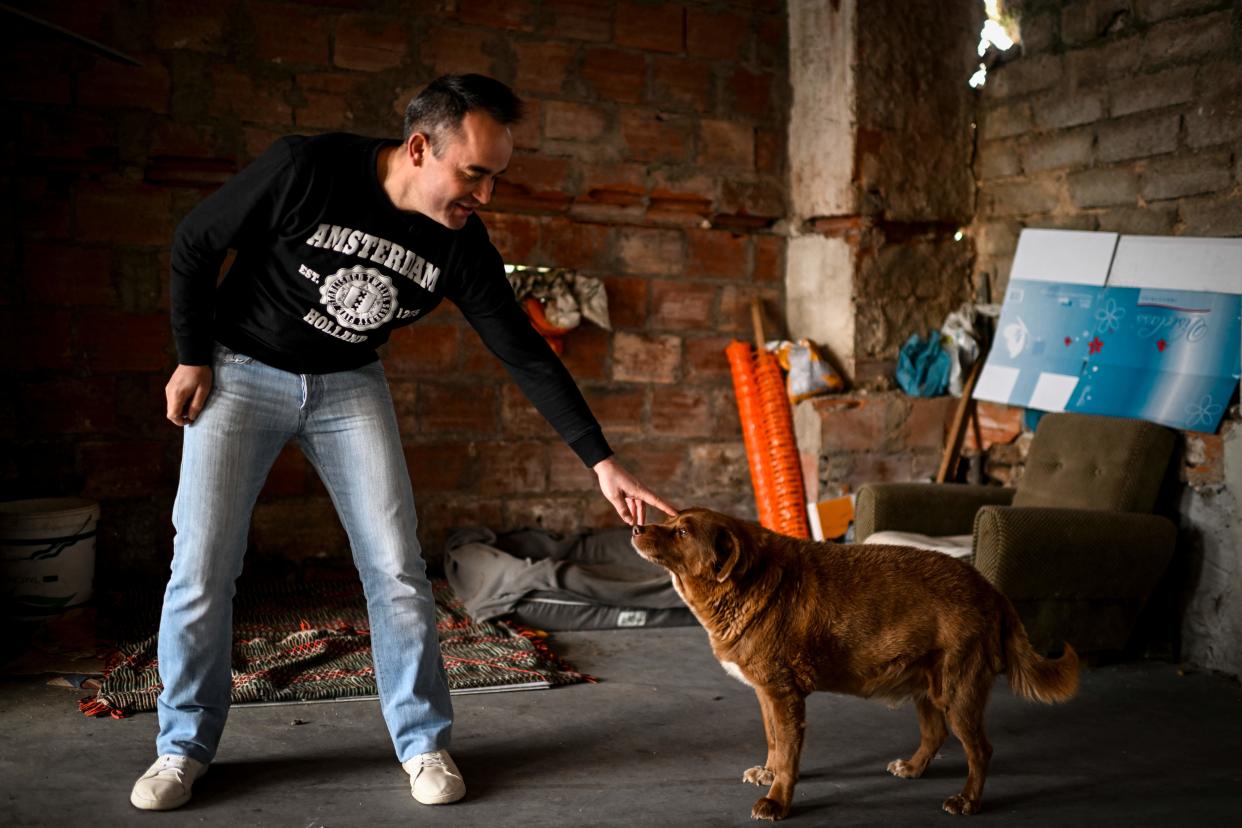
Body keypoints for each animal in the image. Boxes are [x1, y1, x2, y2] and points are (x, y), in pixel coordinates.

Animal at [630, 508, 1078, 819]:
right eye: (670, 519)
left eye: (682, 531)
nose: (635, 527)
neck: (745, 583)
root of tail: (992, 590)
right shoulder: (767, 694)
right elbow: (774, 741)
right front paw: (769, 773)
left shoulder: (784, 694)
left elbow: (788, 752)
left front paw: (778, 801)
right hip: (927, 686)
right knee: (935, 735)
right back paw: (912, 768)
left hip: (958, 692)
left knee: (981, 750)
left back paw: (967, 800)